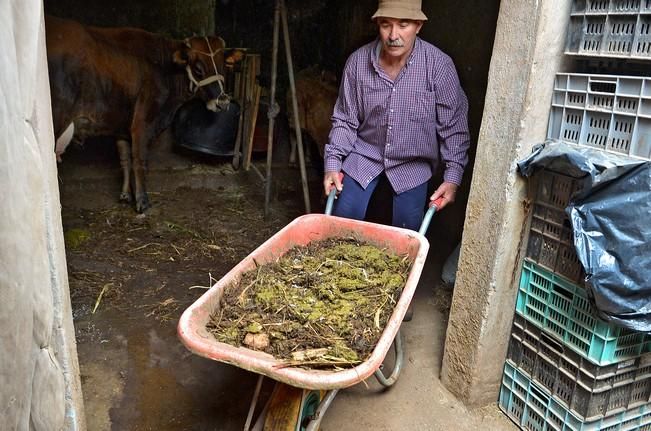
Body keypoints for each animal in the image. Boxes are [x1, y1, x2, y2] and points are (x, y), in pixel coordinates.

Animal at [46, 16, 229, 212]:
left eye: (224, 66)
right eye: (198, 69)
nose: (223, 101)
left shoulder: (122, 126)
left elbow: (125, 160)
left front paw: (125, 195)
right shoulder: (142, 122)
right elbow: (139, 160)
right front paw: (142, 201)